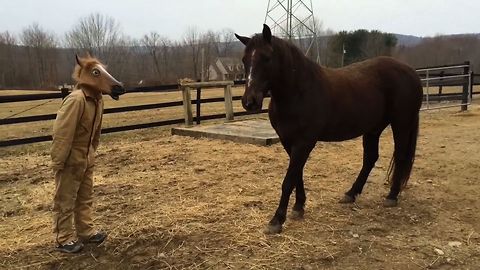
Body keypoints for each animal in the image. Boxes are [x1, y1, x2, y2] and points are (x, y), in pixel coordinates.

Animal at [234, 24, 422, 233]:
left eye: (266, 58)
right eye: (244, 60)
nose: (250, 101)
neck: (299, 91)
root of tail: (411, 72)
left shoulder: (304, 143)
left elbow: (289, 180)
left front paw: (277, 220)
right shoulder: (288, 141)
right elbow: (297, 174)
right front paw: (298, 207)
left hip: (401, 125)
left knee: (400, 157)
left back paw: (391, 196)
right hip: (373, 129)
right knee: (370, 159)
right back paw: (351, 193)